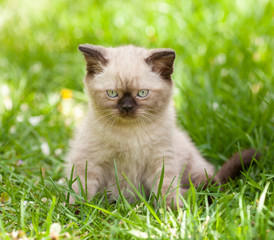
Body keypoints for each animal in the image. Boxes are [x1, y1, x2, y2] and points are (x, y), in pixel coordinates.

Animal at [65, 43, 260, 206]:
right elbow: (82, 190)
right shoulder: (89, 162)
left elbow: (166, 189)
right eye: (112, 93)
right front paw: (79, 211)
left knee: (211, 184)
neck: (131, 134)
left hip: (195, 169)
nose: (127, 108)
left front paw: (173, 212)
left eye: (142, 93)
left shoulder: (161, 160)